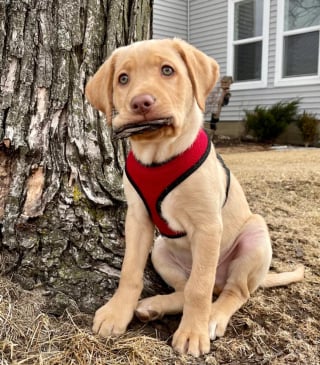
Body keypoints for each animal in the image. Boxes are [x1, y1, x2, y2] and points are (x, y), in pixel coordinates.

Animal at [85, 38, 304, 354]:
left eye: (167, 70)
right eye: (123, 79)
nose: (141, 103)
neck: (159, 157)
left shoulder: (207, 226)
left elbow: (200, 288)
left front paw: (192, 333)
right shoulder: (137, 219)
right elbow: (130, 271)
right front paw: (117, 313)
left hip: (255, 237)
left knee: (231, 291)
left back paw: (211, 318)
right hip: (160, 249)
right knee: (186, 288)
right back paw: (154, 306)